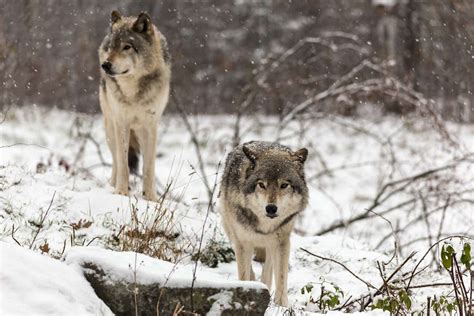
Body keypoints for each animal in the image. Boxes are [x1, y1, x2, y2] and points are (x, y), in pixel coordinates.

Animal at [98, 11, 170, 202]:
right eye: (111, 47)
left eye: (127, 47)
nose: (105, 65)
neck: (133, 94)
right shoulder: (122, 123)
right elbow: (123, 163)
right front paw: (121, 192)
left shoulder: (151, 126)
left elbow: (149, 167)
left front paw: (151, 198)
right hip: (110, 130)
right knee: (116, 161)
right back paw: (113, 184)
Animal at [220, 141, 310, 306]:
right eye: (261, 184)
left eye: (284, 185)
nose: (271, 208)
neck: (265, 226)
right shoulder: (243, 242)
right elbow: (244, 274)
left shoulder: (282, 242)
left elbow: (281, 278)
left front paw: (281, 306)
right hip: (231, 232)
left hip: (271, 245)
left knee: (268, 271)